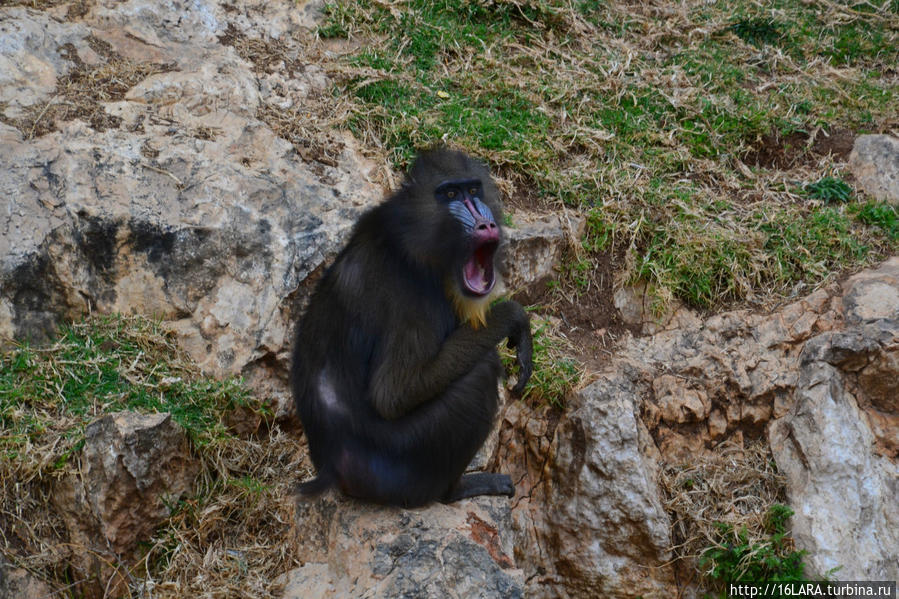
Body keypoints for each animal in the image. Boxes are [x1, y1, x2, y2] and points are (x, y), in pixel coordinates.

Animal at [294, 148, 536, 508]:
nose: (486, 222)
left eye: (473, 190)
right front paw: (513, 317)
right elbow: (395, 393)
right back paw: (457, 490)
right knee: (481, 372)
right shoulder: (409, 299)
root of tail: (333, 470)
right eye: (450, 195)